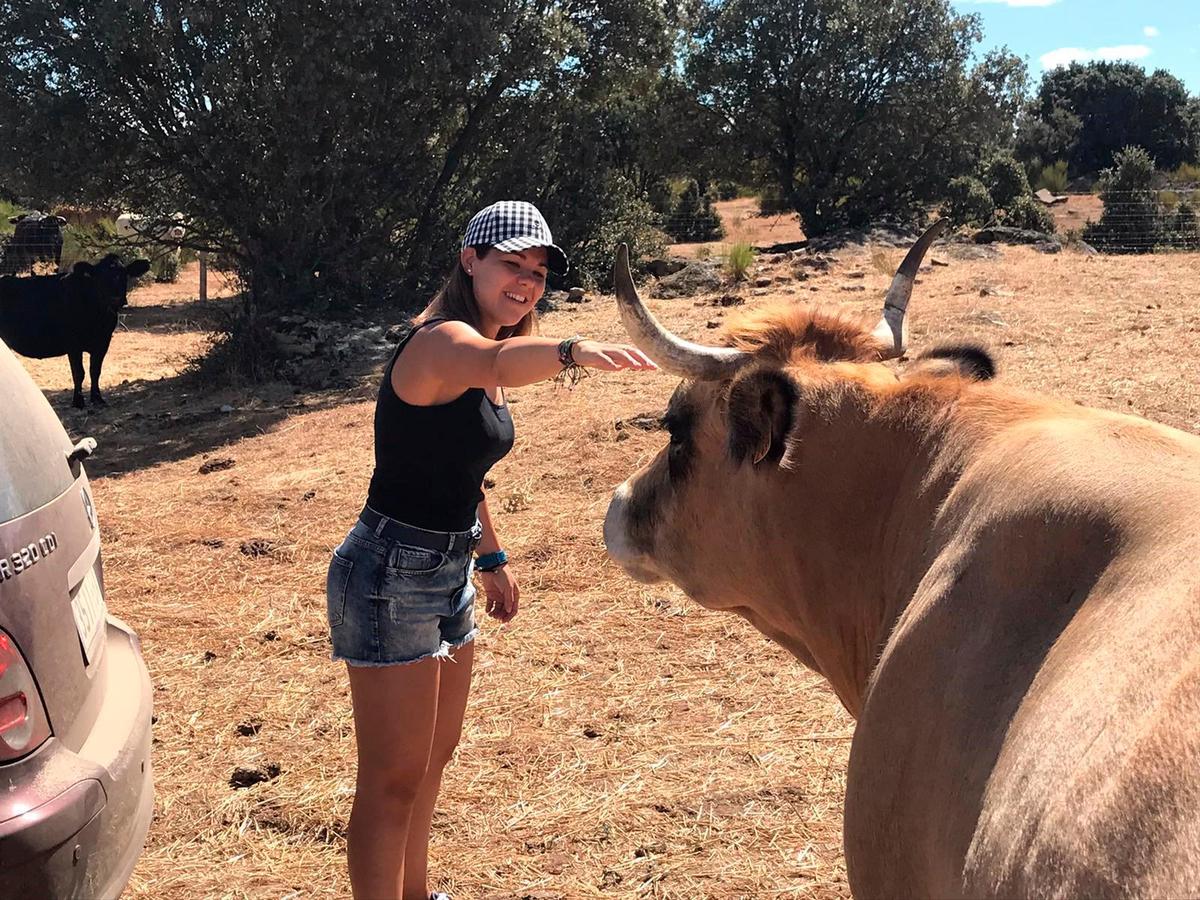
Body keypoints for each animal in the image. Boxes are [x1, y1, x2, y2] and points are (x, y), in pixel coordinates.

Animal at [0, 255, 151, 408]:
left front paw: (97, 398)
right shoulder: (73, 344)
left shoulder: (103, 342)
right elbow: (78, 372)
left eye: (124, 275)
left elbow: (95, 371)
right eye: (100, 278)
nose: (116, 299)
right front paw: (78, 401)